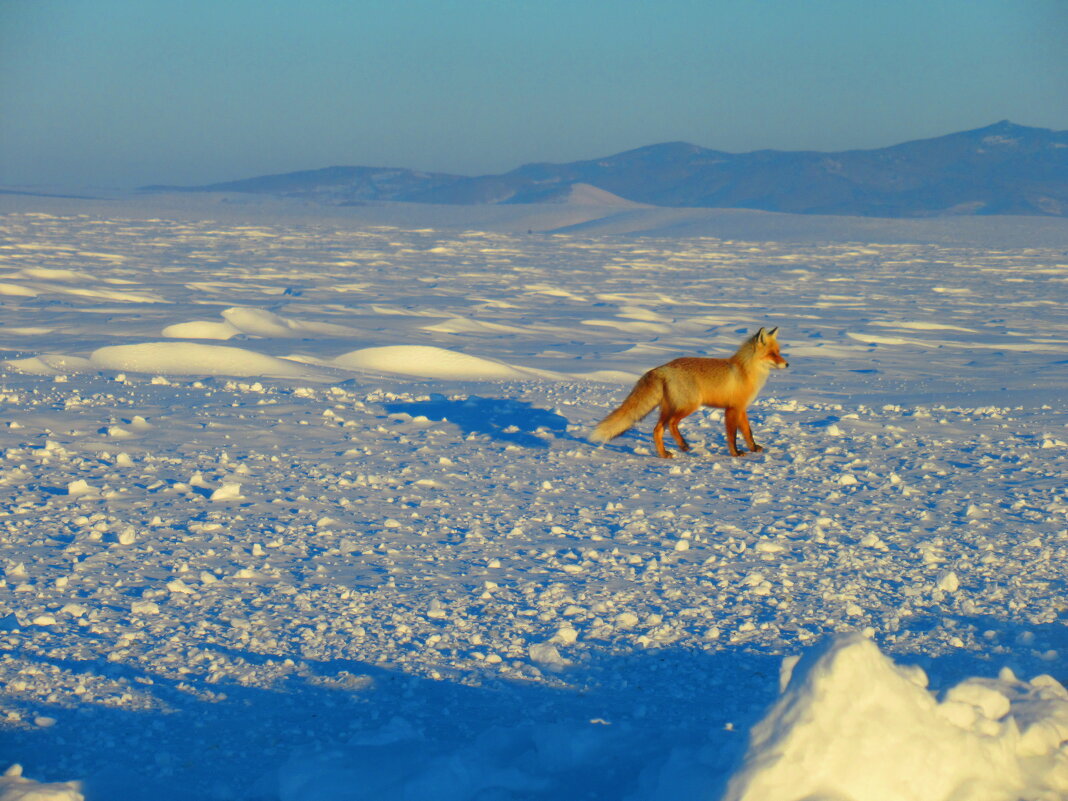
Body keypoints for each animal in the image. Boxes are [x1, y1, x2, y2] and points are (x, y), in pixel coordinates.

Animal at [593, 326, 786, 457]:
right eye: (772, 354)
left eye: (778, 352)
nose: (787, 364)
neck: (745, 371)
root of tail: (662, 368)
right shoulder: (732, 409)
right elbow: (732, 435)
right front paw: (736, 453)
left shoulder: (742, 409)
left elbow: (748, 432)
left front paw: (753, 448)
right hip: (689, 405)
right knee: (671, 424)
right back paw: (683, 446)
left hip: (668, 408)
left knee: (657, 429)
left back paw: (664, 454)